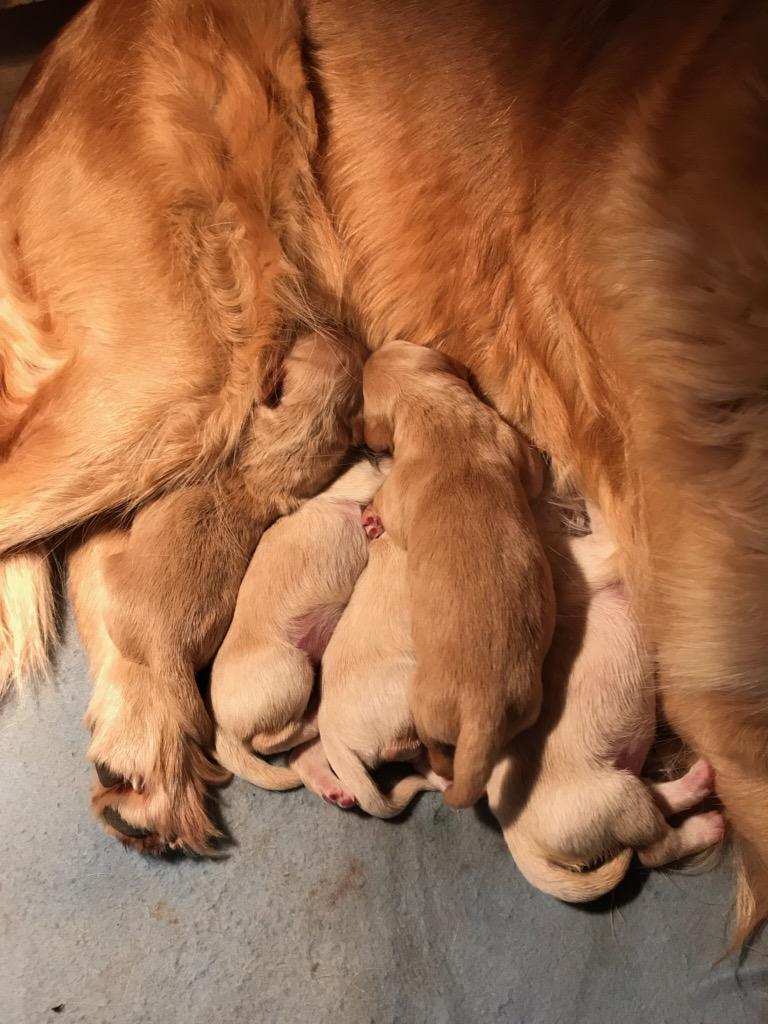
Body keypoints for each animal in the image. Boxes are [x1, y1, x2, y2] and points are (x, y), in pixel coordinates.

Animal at [364, 342, 557, 806]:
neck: (432, 407)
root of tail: (483, 706)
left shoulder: (397, 495)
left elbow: (388, 508)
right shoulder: (511, 443)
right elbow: (535, 476)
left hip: (422, 704)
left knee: (439, 753)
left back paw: (430, 762)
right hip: (527, 705)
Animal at [487, 505, 729, 905]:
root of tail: (520, 841)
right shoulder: (596, 554)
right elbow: (607, 527)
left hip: (623, 784)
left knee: (658, 798)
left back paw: (699, 781)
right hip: (612, 799)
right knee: (655, 848)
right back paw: (710, 824)